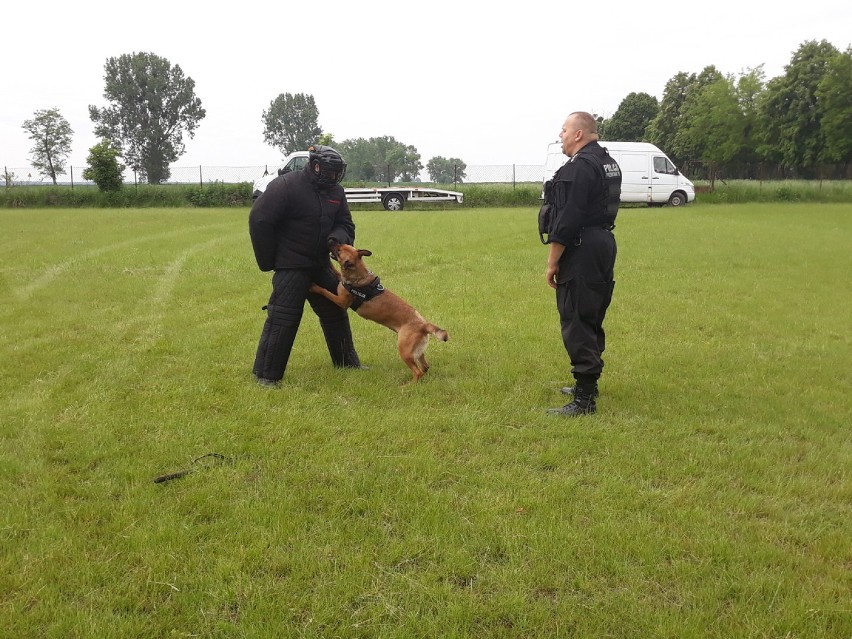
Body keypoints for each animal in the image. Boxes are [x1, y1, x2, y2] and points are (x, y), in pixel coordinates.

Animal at [310, 245, 450, 382]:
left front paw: (313, 286)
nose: (330, 242)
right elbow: (337, 272)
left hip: (404, 351)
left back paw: (408, 385)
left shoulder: (341, 301)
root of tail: (423, 325)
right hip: (418, 351)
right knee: (425, 367)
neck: (358, 274)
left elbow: (324, 291)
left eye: (339, 250)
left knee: (418, 372)